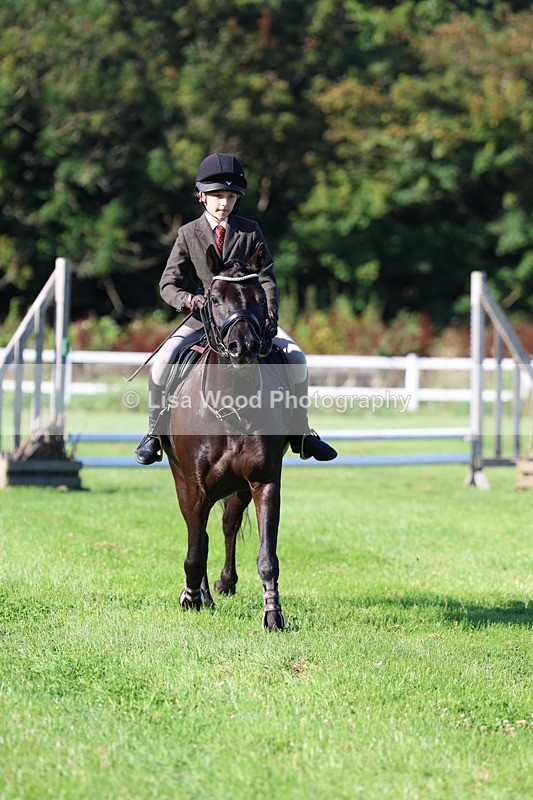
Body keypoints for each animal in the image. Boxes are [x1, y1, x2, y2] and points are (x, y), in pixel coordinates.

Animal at [161, 244, 290, 631]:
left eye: (261, 298)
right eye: (215, 298)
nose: (242, 347)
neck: (234, 402)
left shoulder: (264, 481)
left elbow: (267, 555)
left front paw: (273, 614)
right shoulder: (195, 485)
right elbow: (194, 547)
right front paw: (190, 597)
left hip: (237, 487)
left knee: (227, 524)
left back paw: (224, 583)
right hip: (183, 480)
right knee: (200, 533)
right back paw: (202, 593)